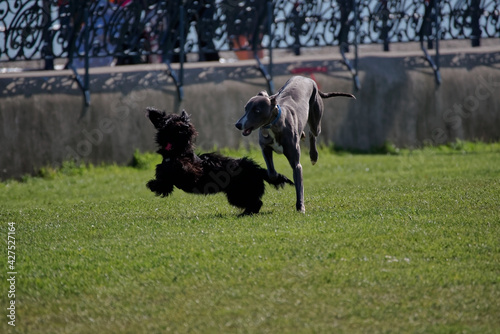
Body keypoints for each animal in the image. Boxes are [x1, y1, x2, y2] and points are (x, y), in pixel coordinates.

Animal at [145, 107, 292, 217]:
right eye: (171, 121)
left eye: (183, 120)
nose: (186, 126)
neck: (177, 150)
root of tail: (256, 168)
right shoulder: (166, 176)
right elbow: (164, 181)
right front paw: (153, 184)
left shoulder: (194, 171)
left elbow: (183, 168)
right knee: (255, 203)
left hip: (239, 193)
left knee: (256, 203)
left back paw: (244, 214)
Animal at [235, 75, 356, 211]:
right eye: (245, 108)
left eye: (257, 110)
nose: (238, 124)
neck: (274, 124)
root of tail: (307, 78)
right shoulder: (265, 148)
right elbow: (272, 173)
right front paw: (279, 179)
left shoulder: (296, 163)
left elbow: (299, 184)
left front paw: (300, 207)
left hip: (316, 120)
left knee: (312, 133)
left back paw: (313, 156)